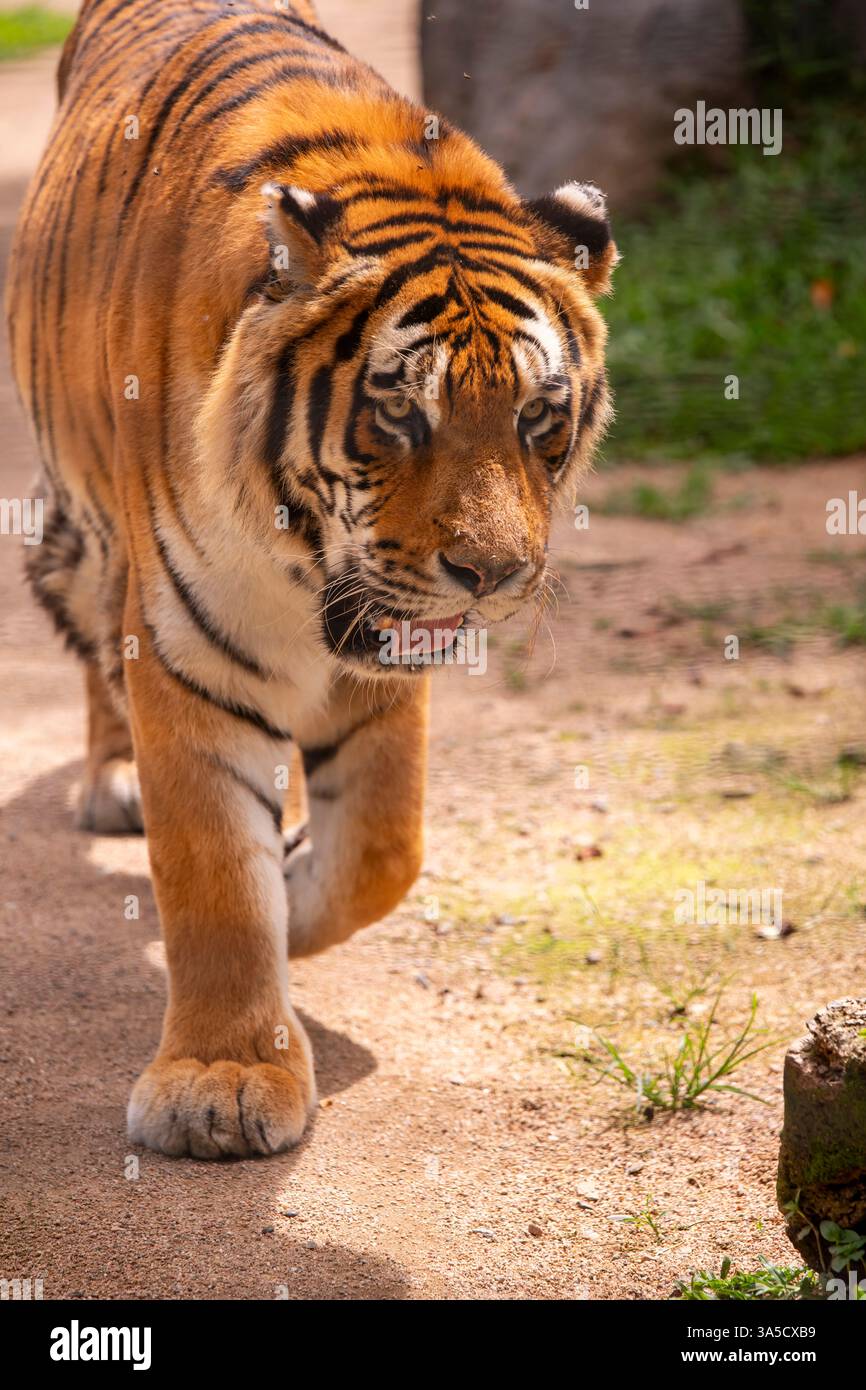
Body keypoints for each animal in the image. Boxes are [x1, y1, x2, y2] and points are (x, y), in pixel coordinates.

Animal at [6, 0, 617, 1158]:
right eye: (400, 412)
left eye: (535, 417)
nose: (491, 574)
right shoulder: (190, 648)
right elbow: (211, 876)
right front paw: (222, 1084)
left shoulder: (386, 654)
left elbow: (382, 849)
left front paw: (292, 879)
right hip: (85, 521)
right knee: (96, 634)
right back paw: (114, 779)